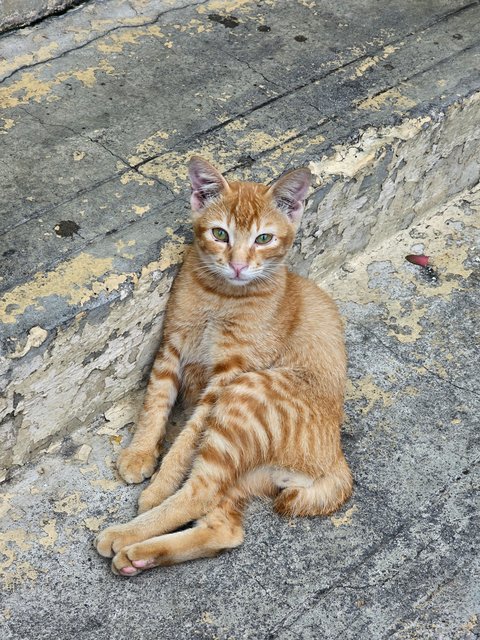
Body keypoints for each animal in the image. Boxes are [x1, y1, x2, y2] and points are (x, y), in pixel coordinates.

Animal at [95, 155, 354, 576]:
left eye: (263, 239)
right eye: (220, 234)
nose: (237, 265)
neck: (222, 295)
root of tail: (336, 459)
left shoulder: (226, 377)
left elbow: (185, 443)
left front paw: (158, 487)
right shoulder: (172, 347)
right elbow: (154, 402)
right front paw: (140, 452)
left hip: (242, 403)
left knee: (199, 492)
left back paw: (125, 534)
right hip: (242, 473)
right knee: (225, 530)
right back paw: (139, 554)